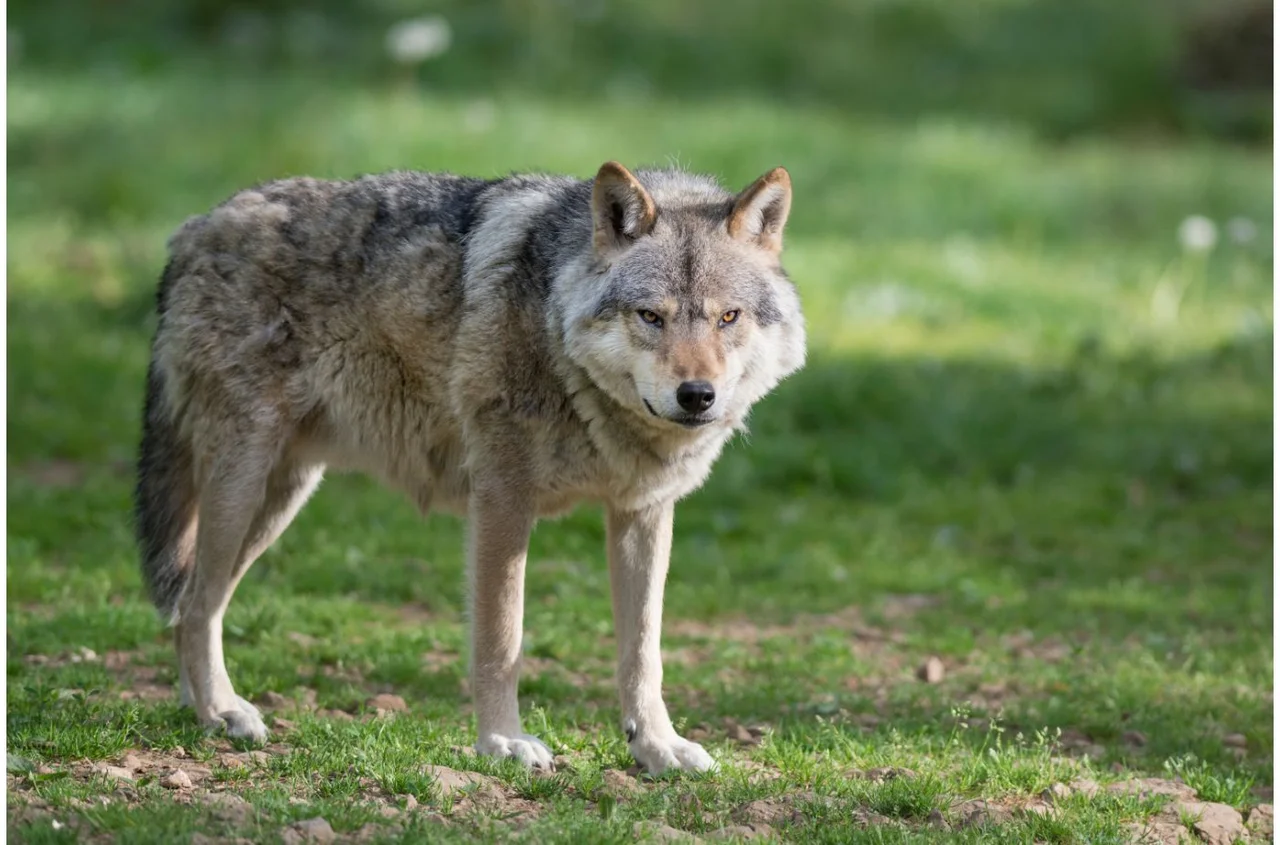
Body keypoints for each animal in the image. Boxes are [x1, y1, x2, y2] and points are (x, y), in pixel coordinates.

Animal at [135, 158, 803, 773]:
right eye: (651, 316)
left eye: (728, 317)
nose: (697, 396)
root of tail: (194, 228)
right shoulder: (502, 498)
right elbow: (501, 638)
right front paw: (503, 742)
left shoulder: (642, 511)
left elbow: (644, 651)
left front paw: (658, 747)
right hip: (245, 486)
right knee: (195, 604)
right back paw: (222, 711)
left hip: (281, 497)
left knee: (192, 603)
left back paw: (200, 711)